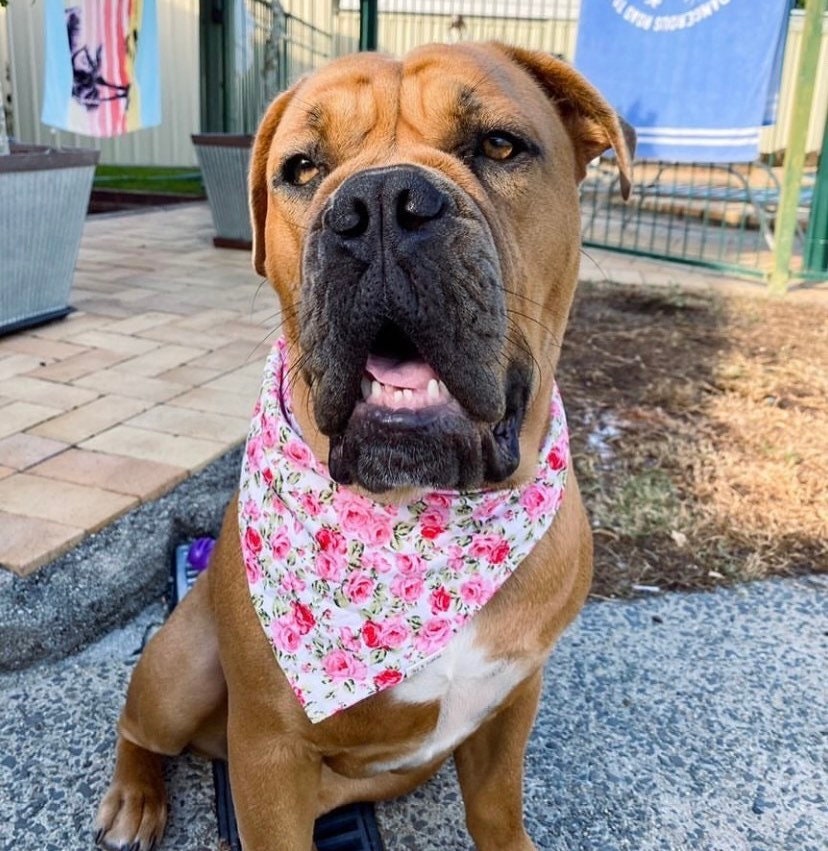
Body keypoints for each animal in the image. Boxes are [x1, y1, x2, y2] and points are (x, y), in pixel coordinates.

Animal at [94, 41, 632, 851]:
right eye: (302, 167)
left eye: (500, 145)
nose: (379, 204)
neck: (418, 520)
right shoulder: (269, 749)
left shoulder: (512, 697)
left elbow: (496, 808)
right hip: (181, 666)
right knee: (139, 727)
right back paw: (134, 796)